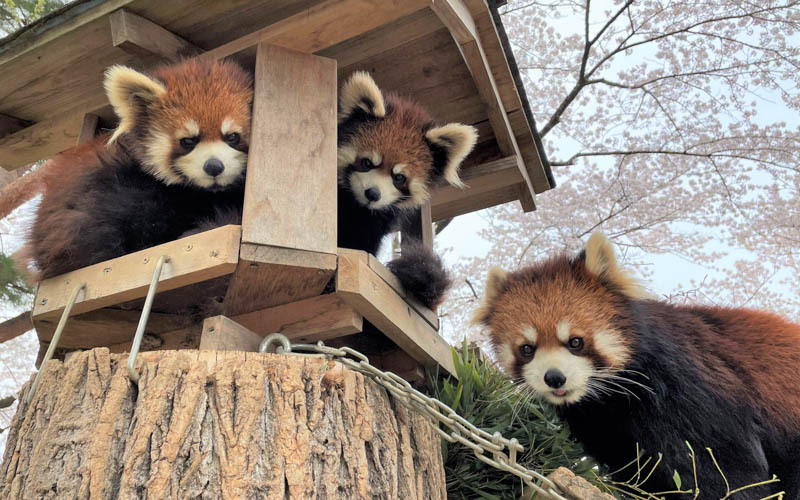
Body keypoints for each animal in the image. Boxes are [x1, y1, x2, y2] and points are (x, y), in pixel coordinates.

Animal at [476, 232, 800, 498]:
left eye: (575, 342)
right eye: (527, 349)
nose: (554, 377)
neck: (613, 402)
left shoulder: (697, 398)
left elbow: (729, 471)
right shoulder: (610, 434)